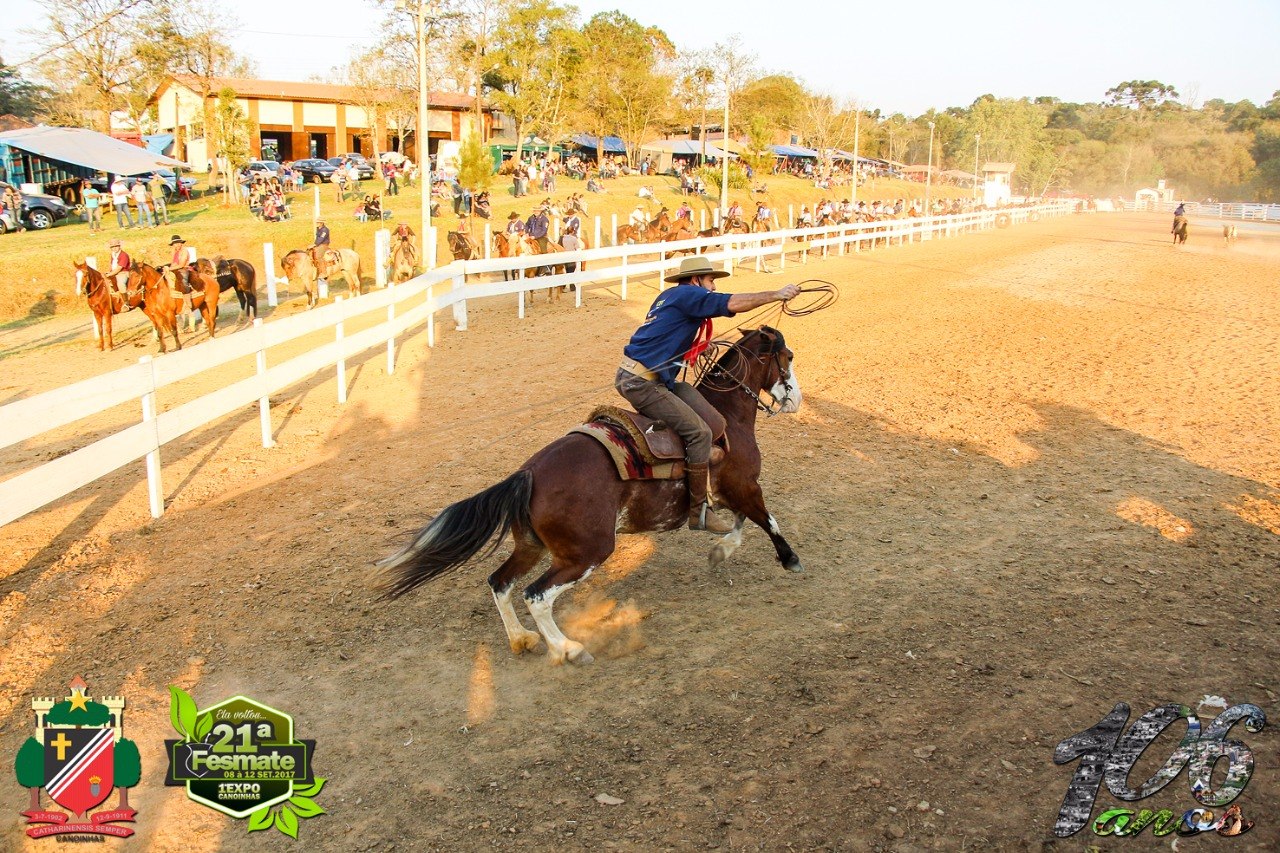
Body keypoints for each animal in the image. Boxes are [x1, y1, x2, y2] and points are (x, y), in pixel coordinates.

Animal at [373, 325, 803, 666]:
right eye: (788, 357)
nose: (795, 399)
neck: (726, 416)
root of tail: (528, 474)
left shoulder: (735, 492)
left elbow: (740, 524)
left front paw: (720, 550)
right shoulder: (746, 486)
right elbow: (767, 520)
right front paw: (789, 559)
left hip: (532, 546)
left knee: (500, 583)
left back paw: (522, 639)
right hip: (588, 552)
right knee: (536, 595)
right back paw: (569, 648)